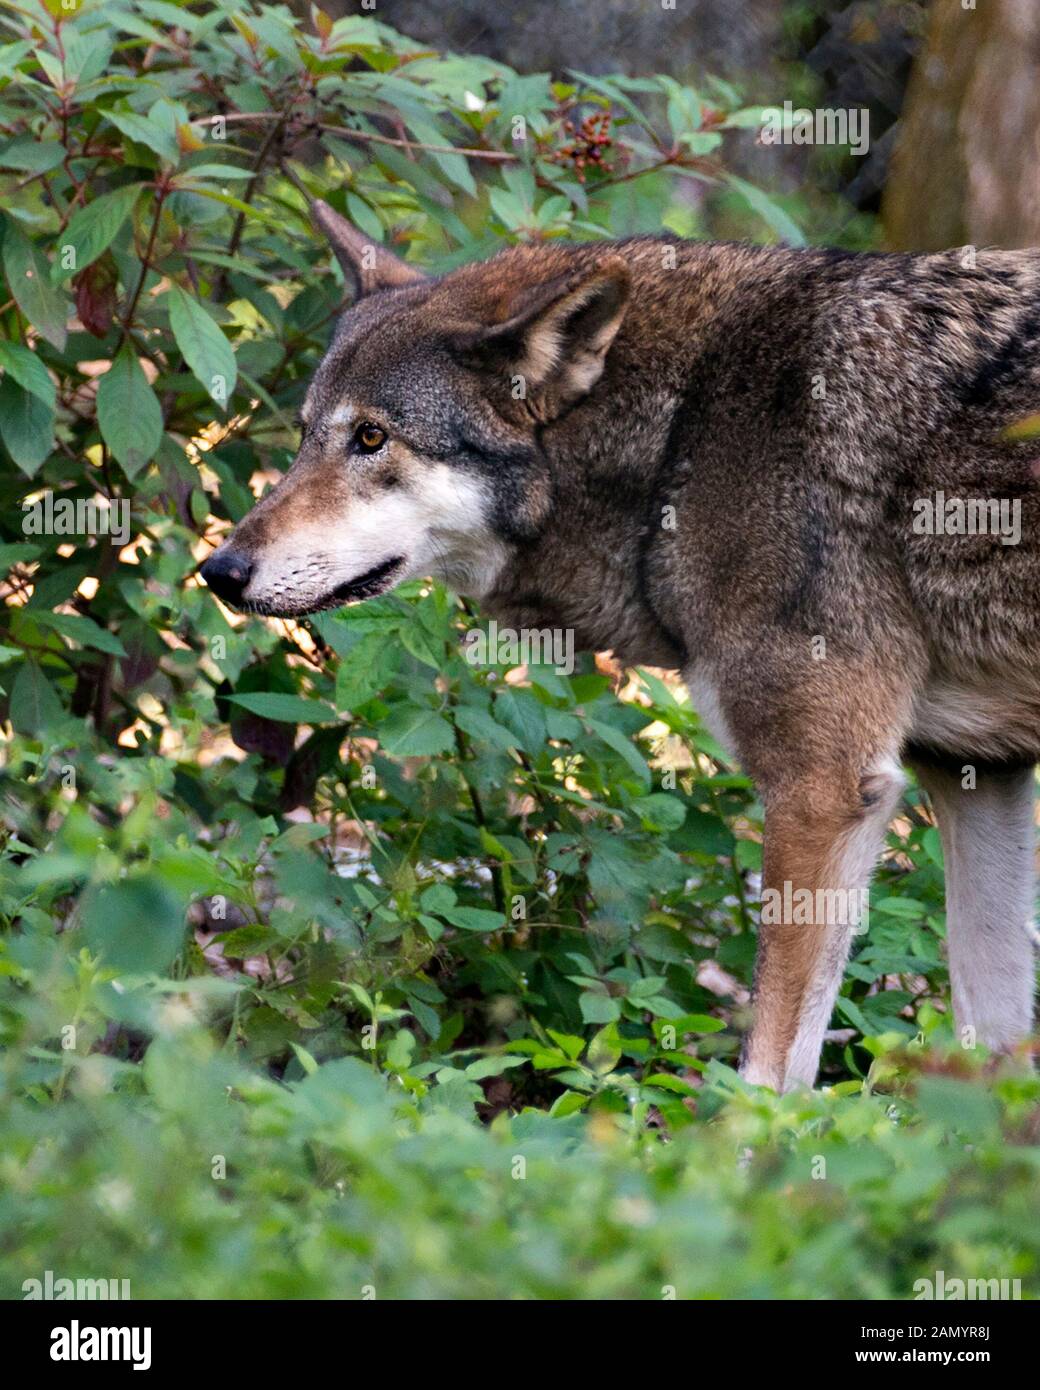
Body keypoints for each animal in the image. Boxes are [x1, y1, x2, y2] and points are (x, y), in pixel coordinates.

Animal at [201, 202, 1040, 1095]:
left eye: (370, 438)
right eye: (303, 439)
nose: (219, 571)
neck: (682, 430)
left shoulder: (824, 789)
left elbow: (770, 1076)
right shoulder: (977, 773)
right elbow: (992, 1052)